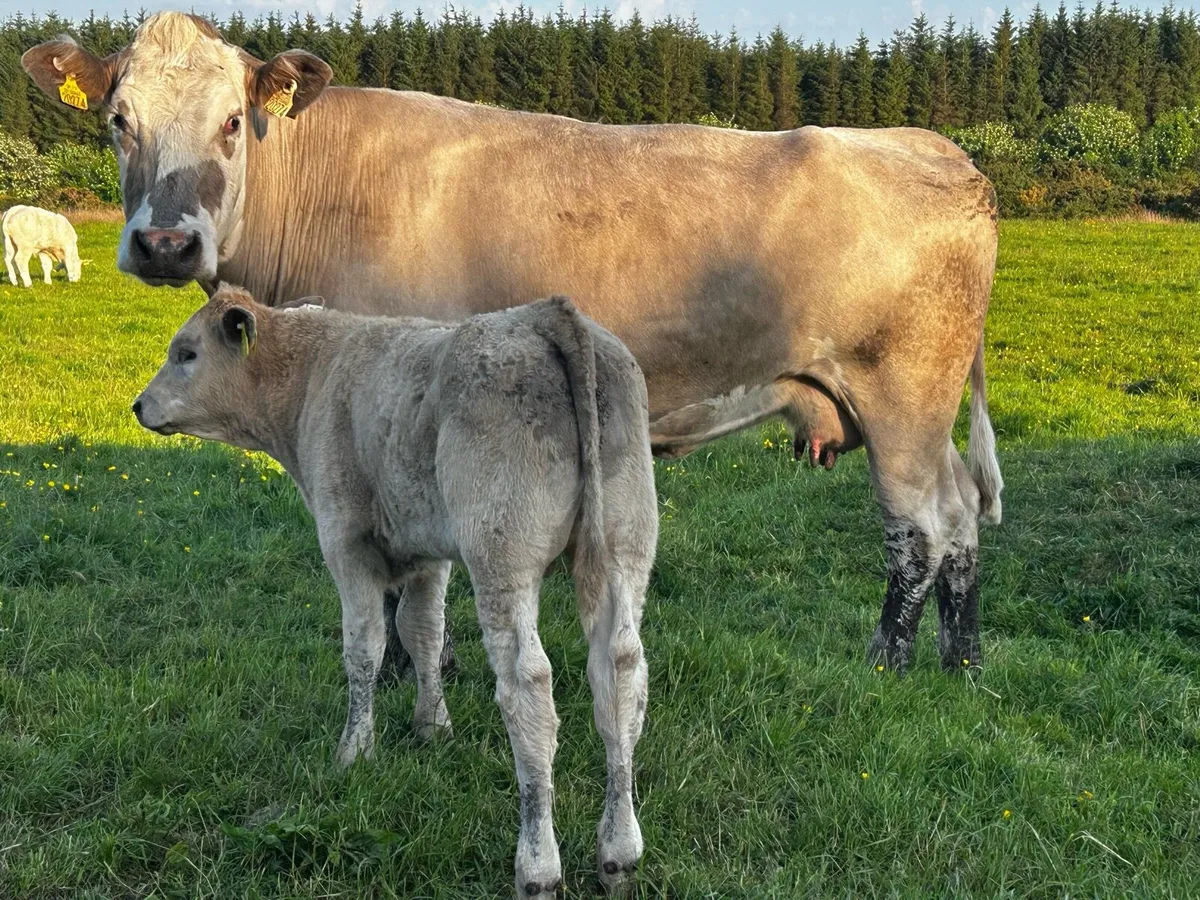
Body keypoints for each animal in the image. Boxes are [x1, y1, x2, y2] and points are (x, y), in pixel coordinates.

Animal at [25, 11, 1004, 675]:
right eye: (118, 120)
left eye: (233, 120)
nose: (165, 243)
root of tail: (942, 152)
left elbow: (406, 574)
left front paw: (416, 668)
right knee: (960, 517)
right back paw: (960, 660)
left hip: (902, 395)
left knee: (922, 525)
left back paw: (890, 659)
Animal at [132, 285, 658, 897]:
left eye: (187, 352)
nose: (138, 406)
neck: (315, 373)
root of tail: (544, 314)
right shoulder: (427, 551)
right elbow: (423, 633)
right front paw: (433, 727)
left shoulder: (346, 541)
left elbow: (365, 647)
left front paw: (355, 750)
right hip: (623, 545)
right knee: (620, 674)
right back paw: (619, 852)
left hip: (502, 556)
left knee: (528, 688)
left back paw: (537, 867)